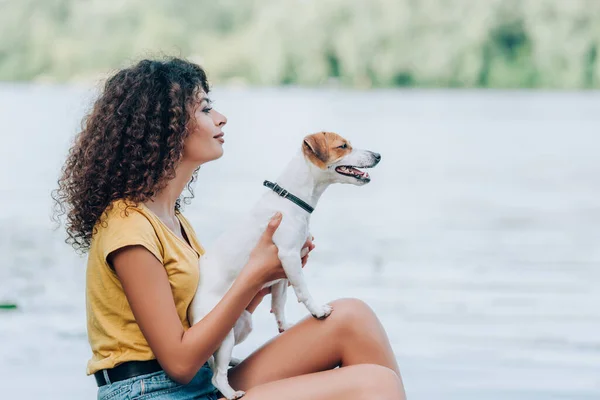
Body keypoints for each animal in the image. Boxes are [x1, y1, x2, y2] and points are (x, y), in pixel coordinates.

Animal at [190, 132, 382, 400]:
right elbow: (303, 289)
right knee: (216, 375)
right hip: (222, 333)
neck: (291, 199)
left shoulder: (281, 273)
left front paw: (284, 326)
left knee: (217, 362)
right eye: (343, 146)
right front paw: (318, 311)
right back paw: (231, 392)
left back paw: (235, 361)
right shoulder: (289, 257)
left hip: (243, 323)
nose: (378, 155)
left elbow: (279, 303)